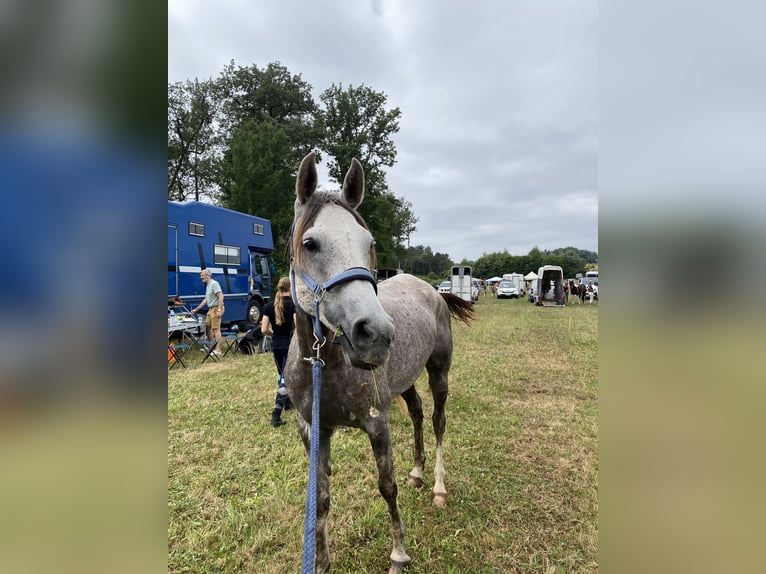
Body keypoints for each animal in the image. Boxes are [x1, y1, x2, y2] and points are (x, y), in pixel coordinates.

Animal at [284, 152, 474, 574]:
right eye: (310, 243)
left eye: (368, 243)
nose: (375, 333)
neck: (326, 367)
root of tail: (431, 289)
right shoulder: (313, 429)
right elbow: (320, 497)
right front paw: (320, 561)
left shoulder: (377, 423)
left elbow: (387, 486)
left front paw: (398, 554)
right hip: (406, 383)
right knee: (417, 413)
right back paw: (418, 470)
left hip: (439, 373)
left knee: (437, 421)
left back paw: (437, 486)